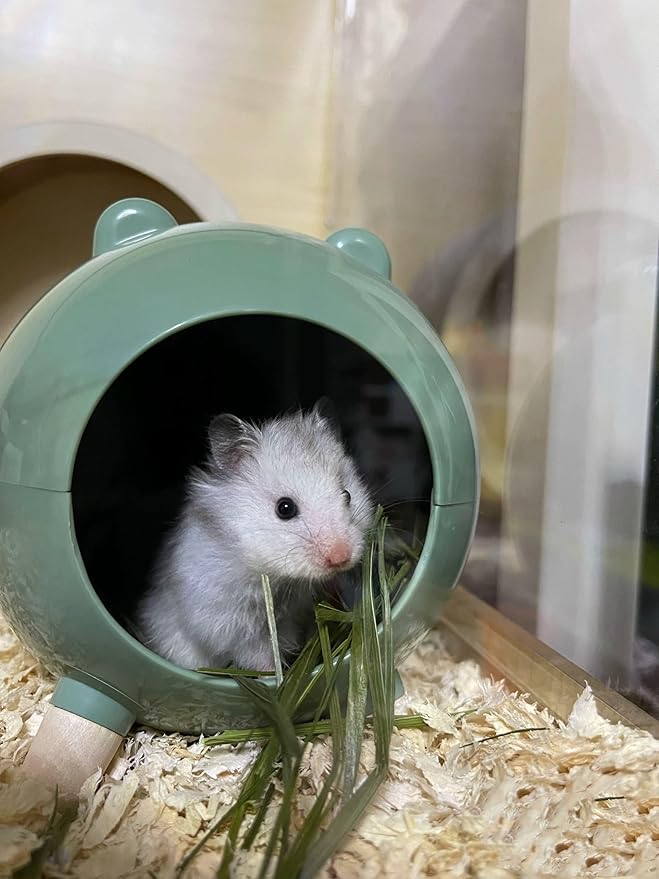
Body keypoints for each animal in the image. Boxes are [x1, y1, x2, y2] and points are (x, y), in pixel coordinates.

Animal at [136, 400, 374, 671]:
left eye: (347, 495)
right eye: (285, 508)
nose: (341, 558)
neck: (283, 579)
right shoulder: (232, 623)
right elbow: (258, 653)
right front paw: (276, 674)